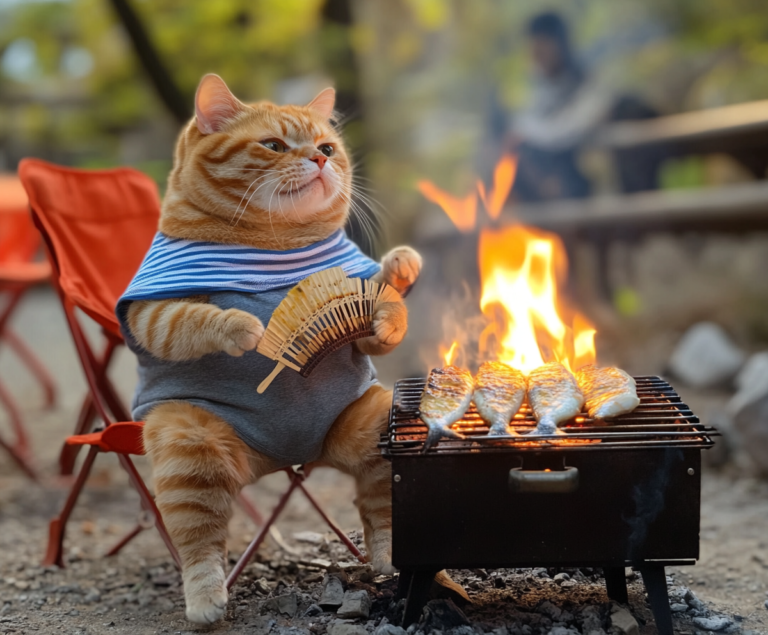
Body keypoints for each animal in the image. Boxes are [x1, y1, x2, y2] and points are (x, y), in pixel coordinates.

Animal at [117, 74, 424, 628]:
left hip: (375, 427)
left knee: (380, 513)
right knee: (199, 543)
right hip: (190, 442)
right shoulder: (151, 313)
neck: (274, 247)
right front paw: (248, 330)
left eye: (328, 147)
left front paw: (399, 274)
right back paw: (205, 602)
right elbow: (192, 320)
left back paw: (389, 559)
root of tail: (289, 457)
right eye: (274, 146)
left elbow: (383, 310)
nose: (320, 159)